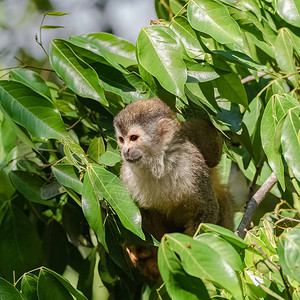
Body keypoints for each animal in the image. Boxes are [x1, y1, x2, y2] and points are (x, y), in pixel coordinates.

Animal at [113, 97, 233, 280]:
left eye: (133, 138)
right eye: (121, 139)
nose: (125, 150)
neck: (158, 164)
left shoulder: (193, 166)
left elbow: (207, 208)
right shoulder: (126, 177)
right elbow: (141, 217)